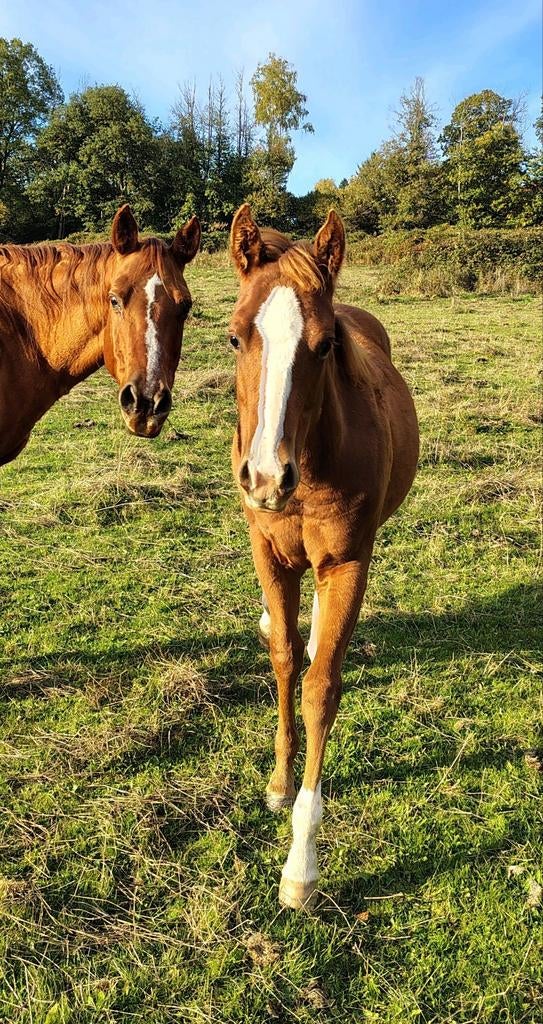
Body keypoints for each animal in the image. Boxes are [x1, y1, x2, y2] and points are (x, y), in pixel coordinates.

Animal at [228, 203, 419, 910]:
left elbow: (320, 689)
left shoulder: (348, 562)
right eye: (235, 338)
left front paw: (301, 868)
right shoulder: (269, 552)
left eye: (324, 345)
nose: (266, 478)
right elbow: (285, 662)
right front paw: (280, 783)